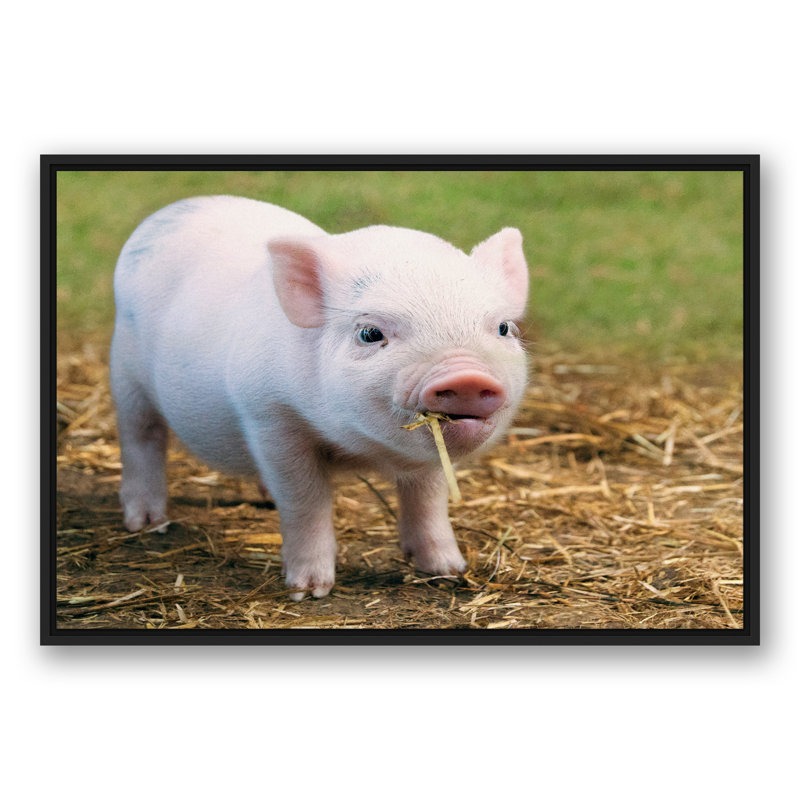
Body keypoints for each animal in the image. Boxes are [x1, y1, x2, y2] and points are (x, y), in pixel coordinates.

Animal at [110, 195, 529, 600]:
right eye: (370, 334)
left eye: (503, 328)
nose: (467, 375)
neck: (360, 450)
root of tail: (171, 210)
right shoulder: (269, 416)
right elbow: (305, 500)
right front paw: (309, 591)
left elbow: (429, 498)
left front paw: (449, 571)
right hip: (125, 376)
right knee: (141, 438)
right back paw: (146, 524)